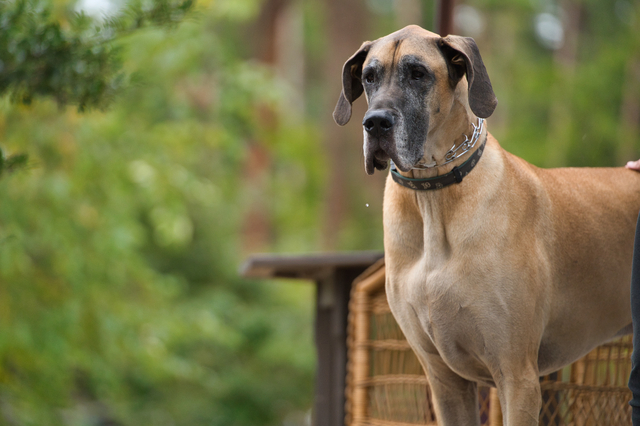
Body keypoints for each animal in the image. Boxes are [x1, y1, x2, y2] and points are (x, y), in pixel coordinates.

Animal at [332, 24, 640, 426]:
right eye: (369, 76)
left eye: (418, 73)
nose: (375, 123)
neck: (434, 197)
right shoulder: (444, 381)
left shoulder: (516, 375)